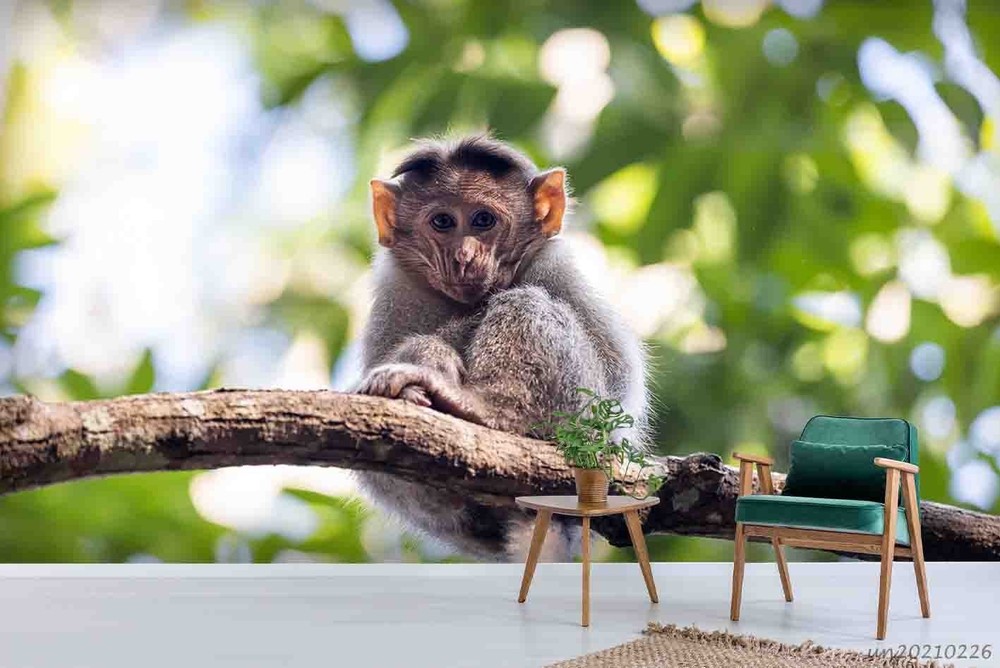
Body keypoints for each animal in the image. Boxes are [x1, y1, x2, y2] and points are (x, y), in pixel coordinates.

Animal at [355, 135, 648, 561]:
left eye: (483, 221)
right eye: (442, 222)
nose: (463, 256)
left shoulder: (554, 264)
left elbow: (618, 375)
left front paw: (434, 352)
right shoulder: (397, 288)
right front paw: (426, 356)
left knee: (525, 304)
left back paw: (483, 408)